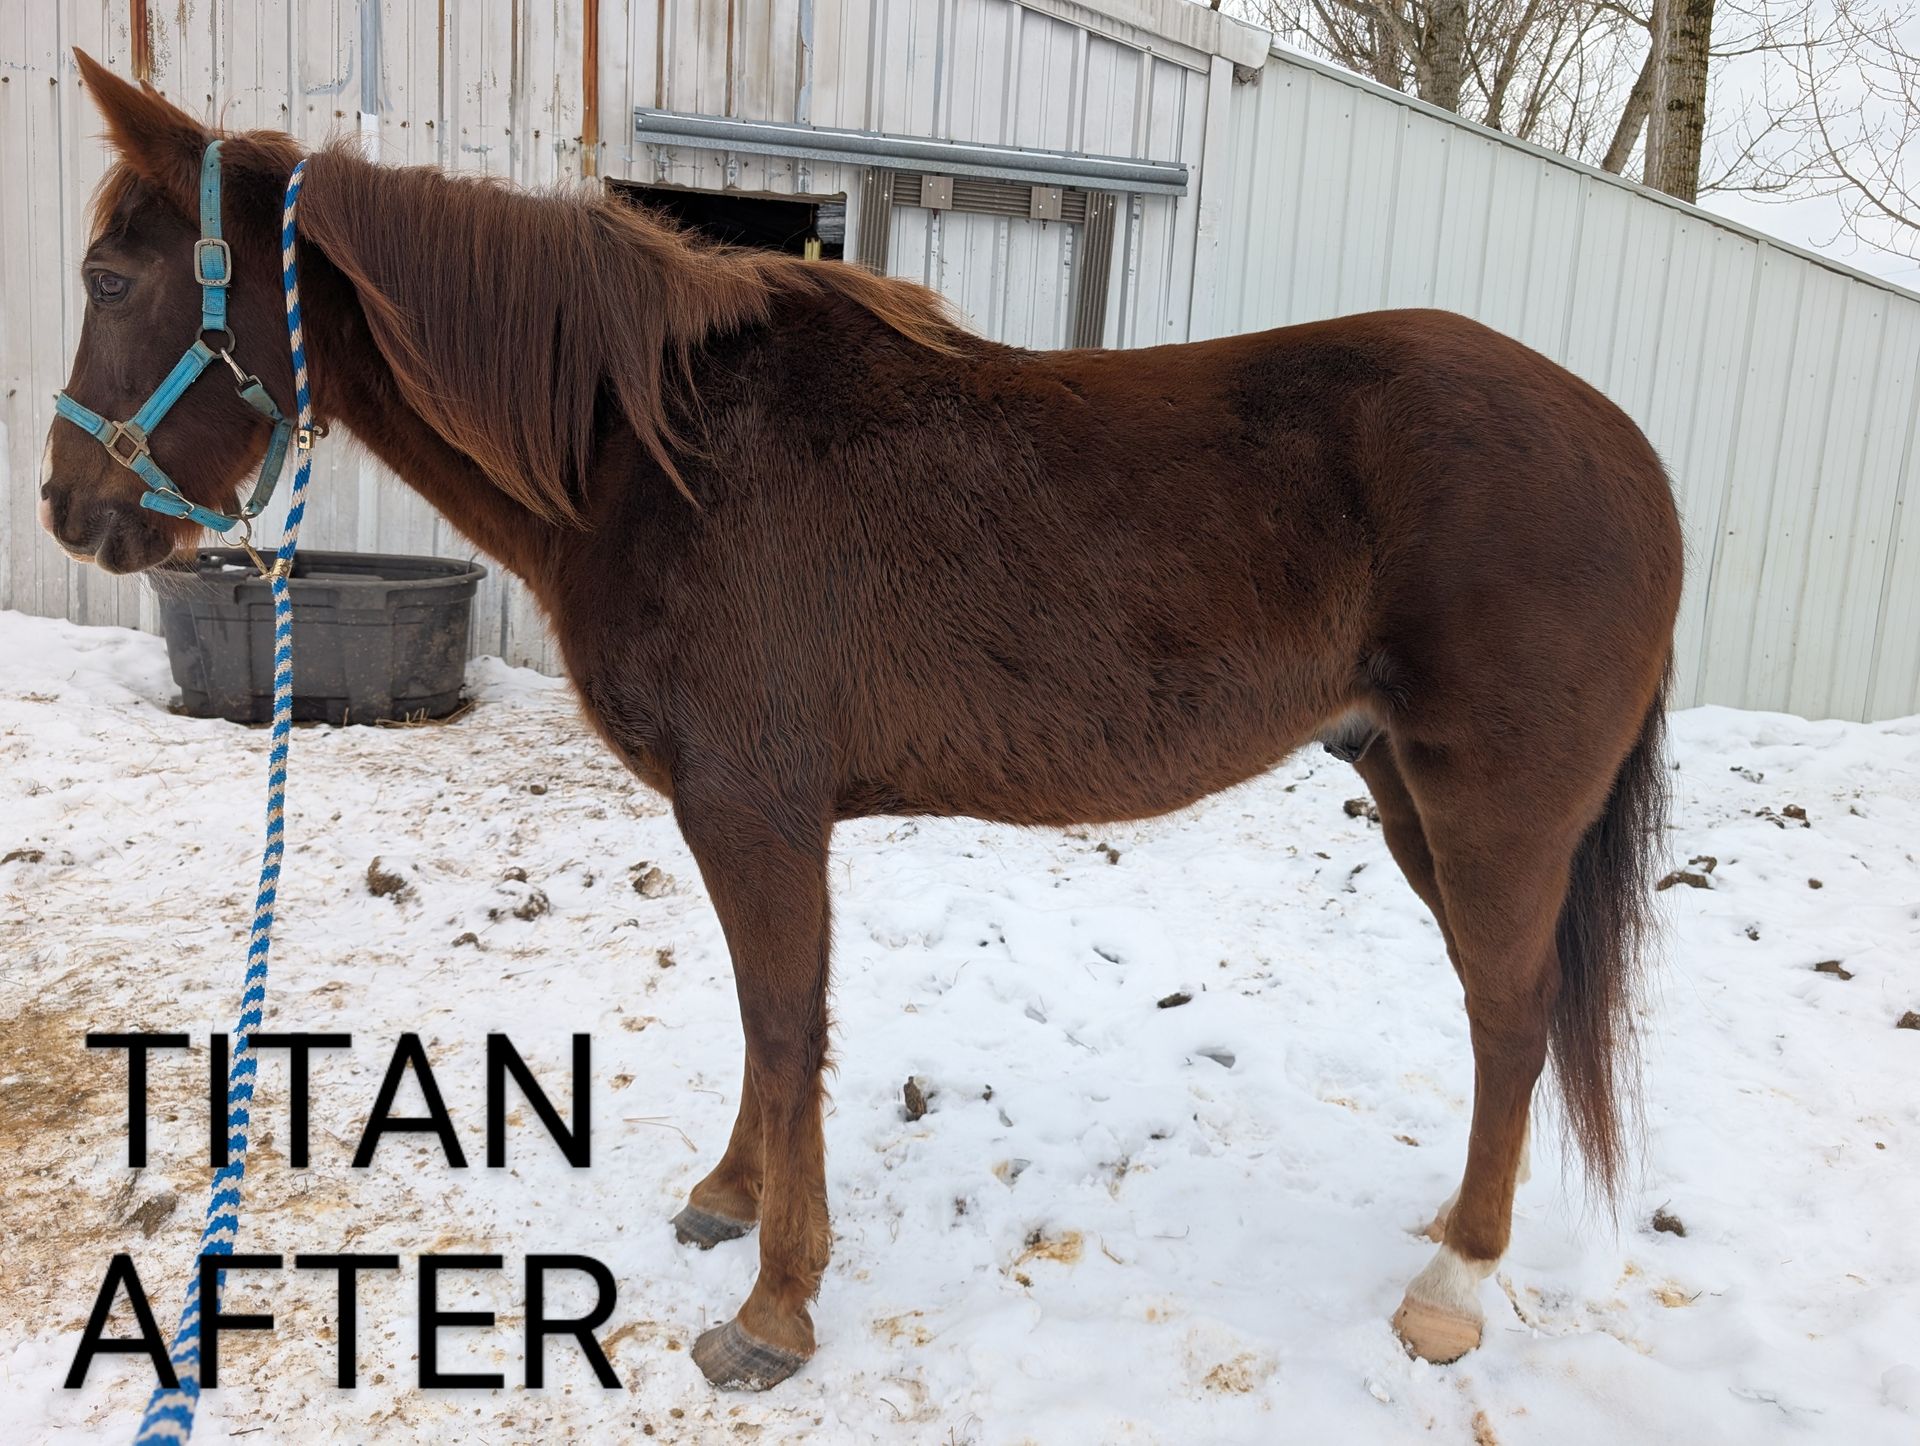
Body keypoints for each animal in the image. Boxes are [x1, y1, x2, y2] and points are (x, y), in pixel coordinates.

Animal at [44, 50, 1682, 1391]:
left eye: (112, 280)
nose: (71, 509)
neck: (659, 456)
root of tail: (1632, 455)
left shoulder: (754, 808)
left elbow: (787, 1022)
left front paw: (774, 1310)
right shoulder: (747, 817)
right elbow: (767, 1023)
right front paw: (730, 1201)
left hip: (1490, 808)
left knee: (1511, 1017)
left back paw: (1452, 1288)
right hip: (1405, 791)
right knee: (1504, 1019)